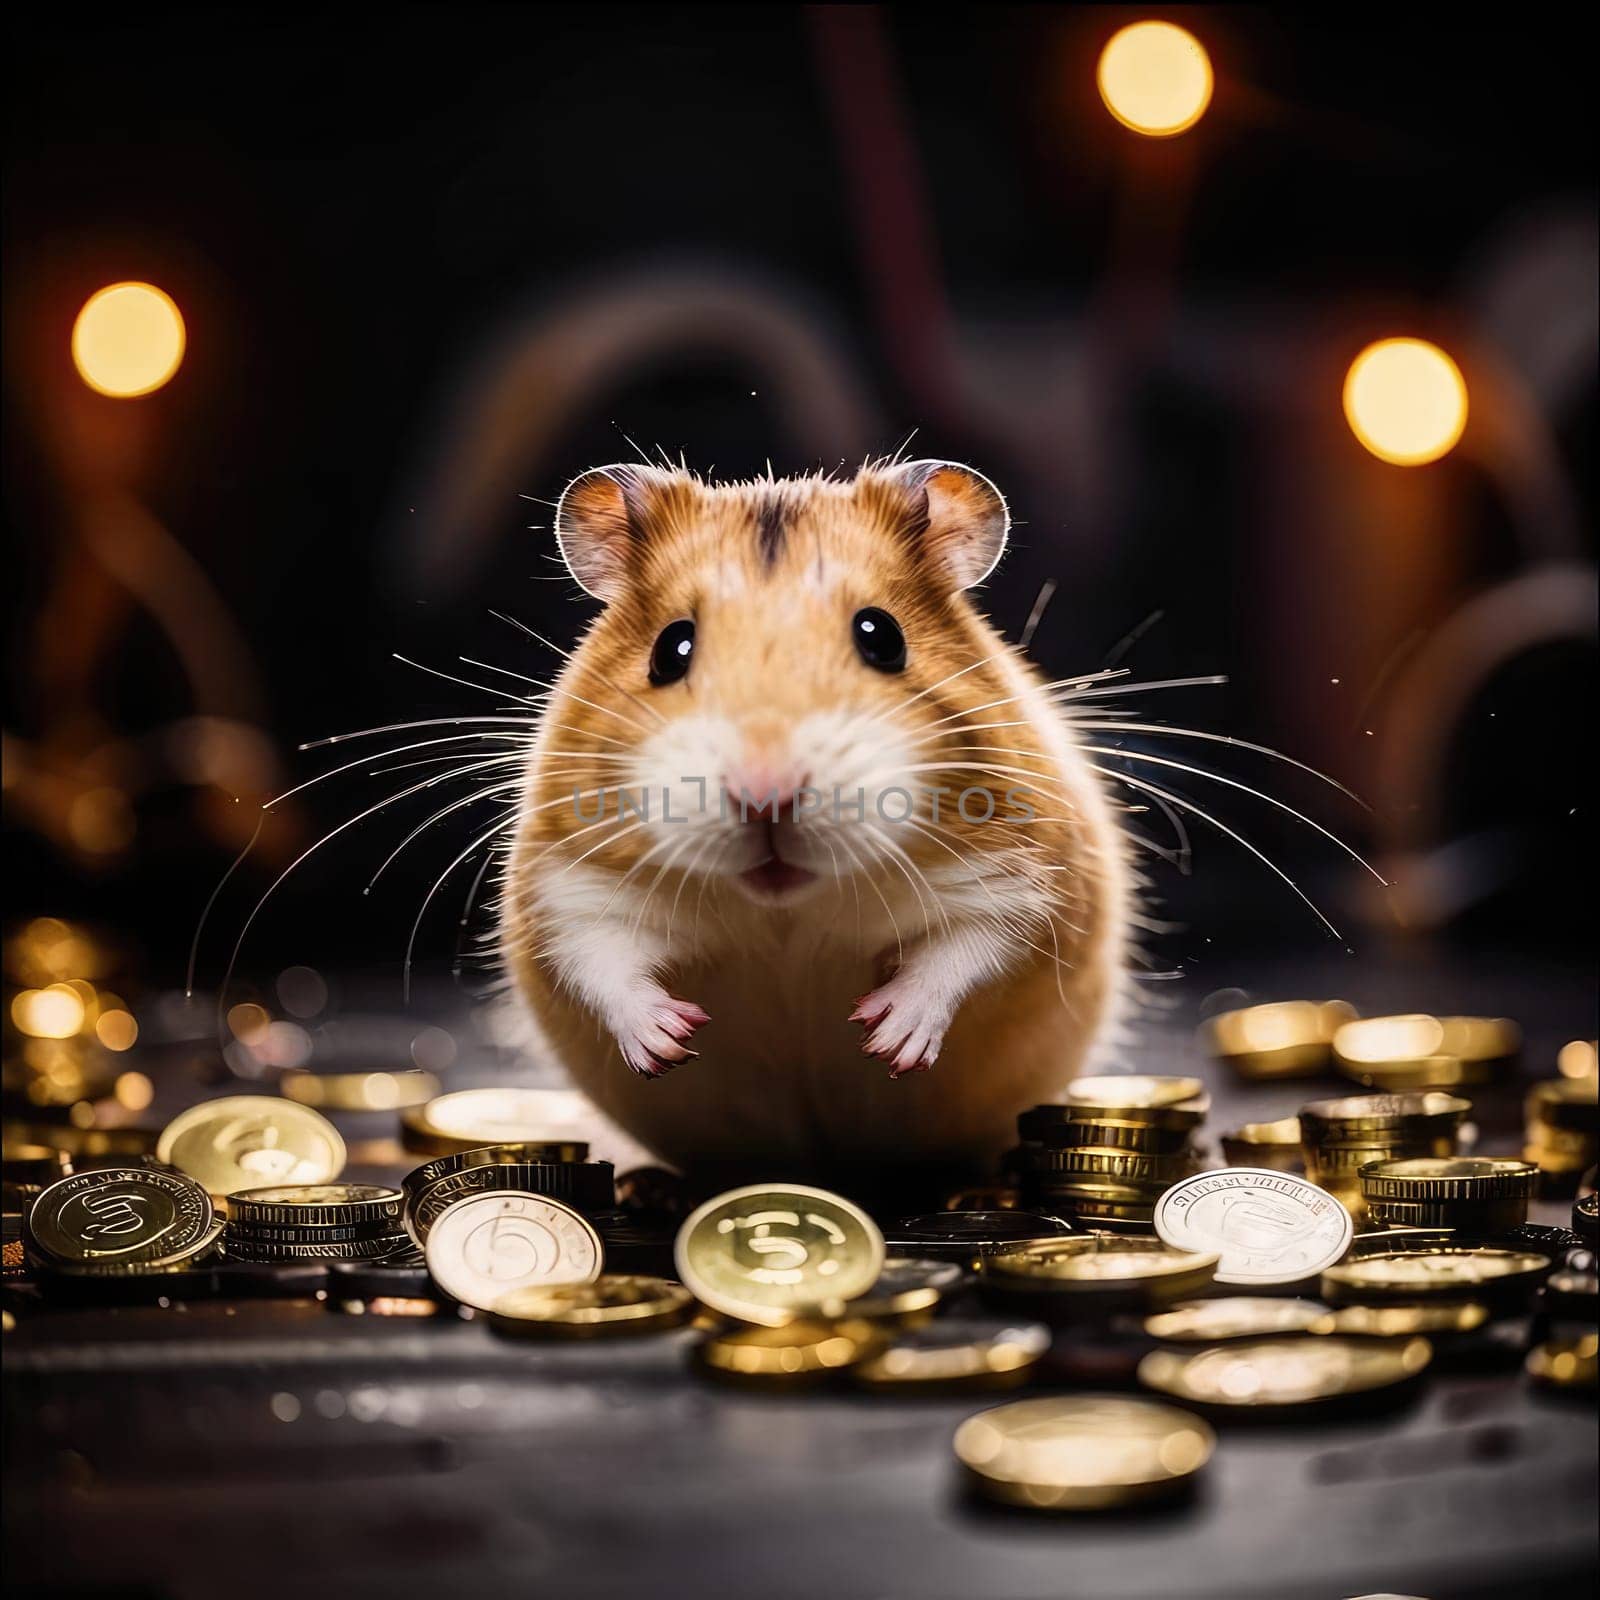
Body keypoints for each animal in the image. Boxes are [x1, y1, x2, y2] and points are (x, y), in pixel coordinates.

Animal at [499, 457, 1126, 1184]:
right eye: (669, 649)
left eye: (883, 637)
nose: (765, 795)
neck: (784, 911)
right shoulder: (566, 884)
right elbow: (601, 958)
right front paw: (672, 1040)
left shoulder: (1025, 878)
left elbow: (968, 950)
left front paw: (886, 1039)